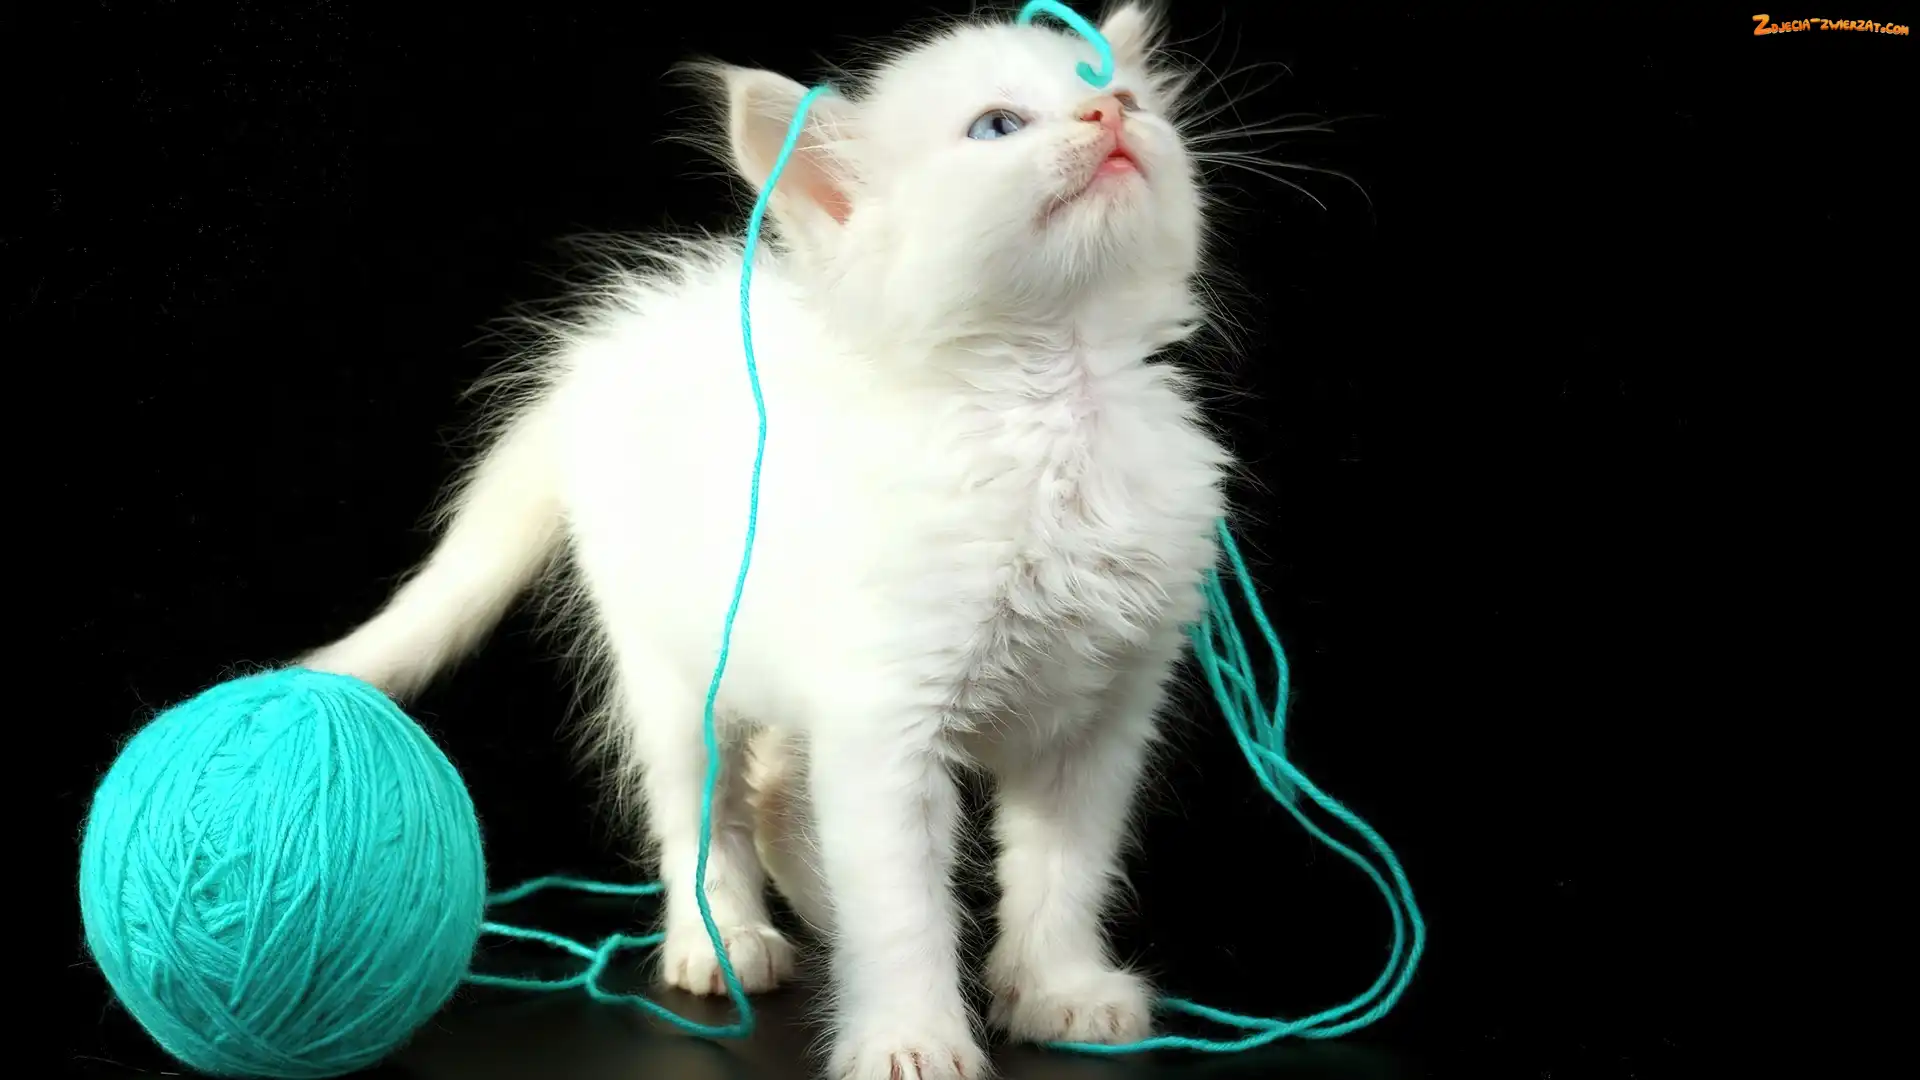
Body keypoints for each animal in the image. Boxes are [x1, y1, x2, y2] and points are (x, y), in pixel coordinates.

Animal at [302, 5, 1236, 1078]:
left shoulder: (1100, 716)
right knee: (701, 811)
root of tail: (598, 356)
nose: (1109, 115)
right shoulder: (888, 716)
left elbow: (1063, 875)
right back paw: (723, 942)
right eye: (998, 126)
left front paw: (1058, 993)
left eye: (1122, 96)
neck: (1058, 405)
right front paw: (911, 1037)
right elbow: (902, 902)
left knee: (781, 787)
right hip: (673, 673)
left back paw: (824, 914)